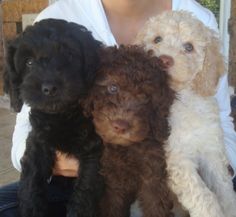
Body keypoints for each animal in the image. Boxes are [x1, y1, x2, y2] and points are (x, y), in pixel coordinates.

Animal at [3, 18, 103, 217]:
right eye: (29, 62)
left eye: (69, 54)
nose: (49, 88)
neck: (62, 115)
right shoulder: (38, 139)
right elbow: (31, 178)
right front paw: (31, 209)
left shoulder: (92, 147)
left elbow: (85, 189)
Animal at [83, 45, 175, 217]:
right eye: (113, 88)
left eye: (145, 97)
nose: (120, 125)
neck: (125, 148)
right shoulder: (111, 183)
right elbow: (112, 207)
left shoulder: (152, 175)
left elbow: (156, 205)